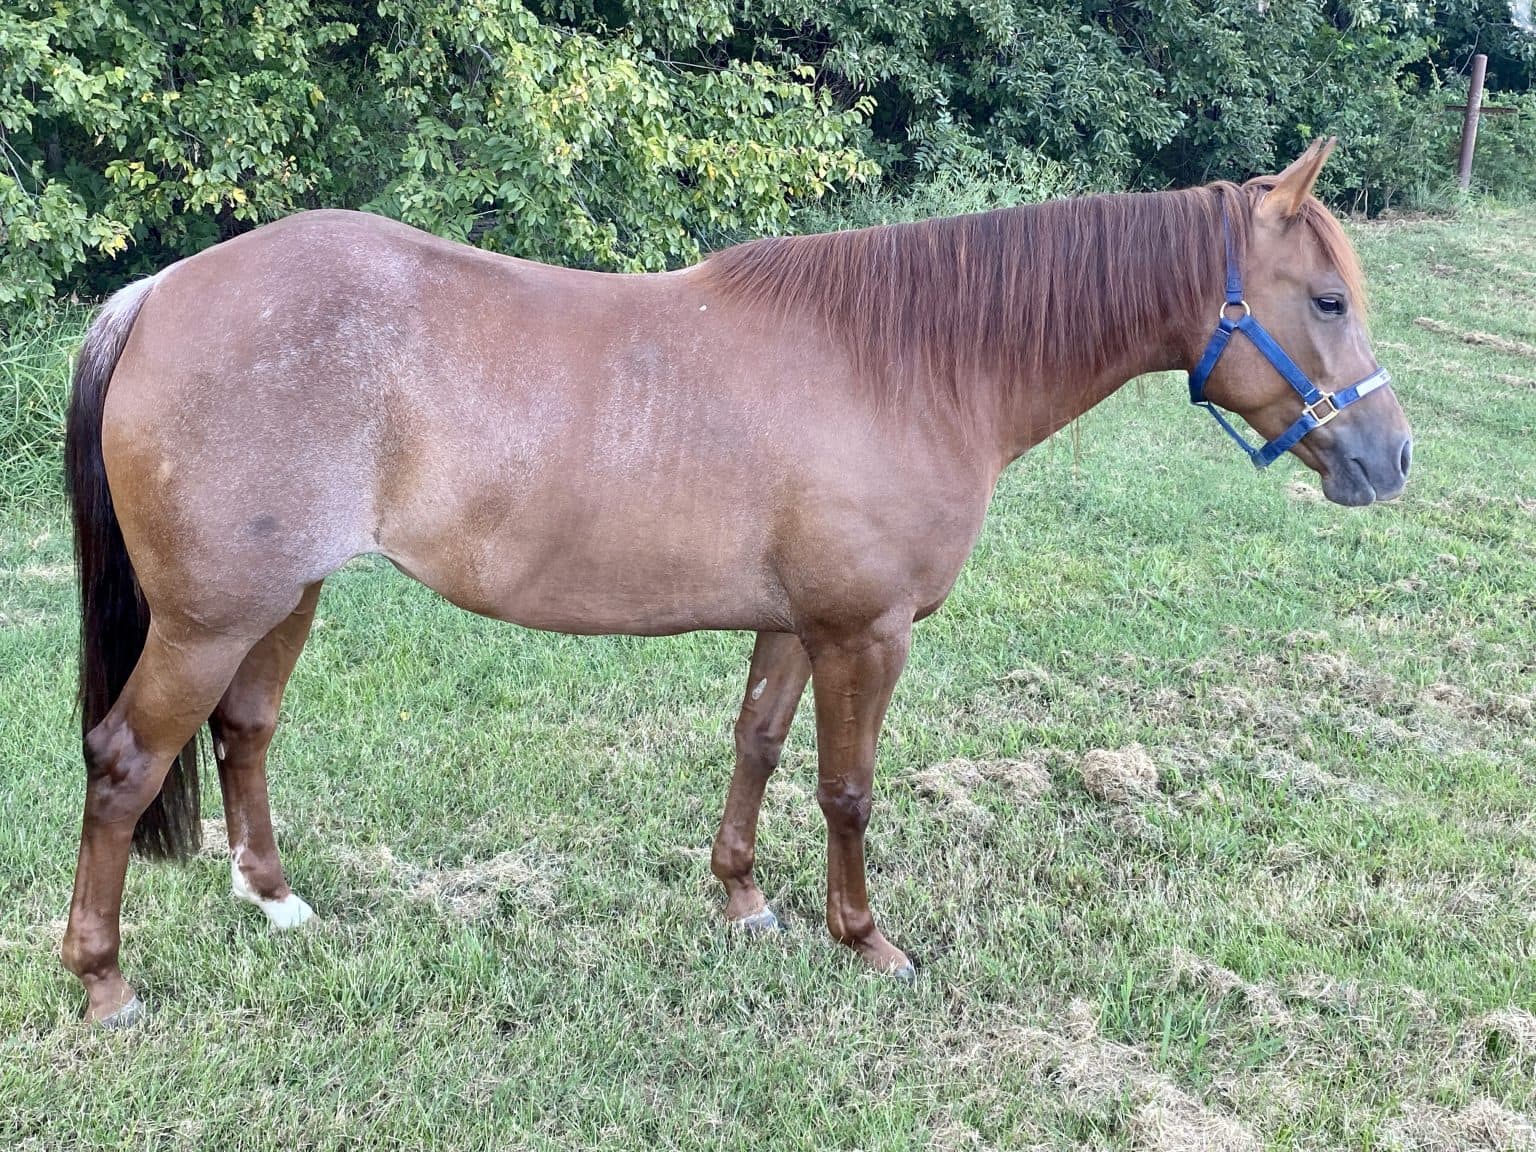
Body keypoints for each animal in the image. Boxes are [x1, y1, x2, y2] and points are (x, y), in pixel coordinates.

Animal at [60, 138, 1410, 1026]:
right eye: (1328, 298)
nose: (1391, 459)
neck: (907, 363)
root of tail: (160, 292)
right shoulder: (867, 633)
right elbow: (849, 791)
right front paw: (866, 942)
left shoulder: (796, 626)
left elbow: (757, 748)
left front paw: (744, 905)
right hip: (210, 618)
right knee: (126, 762)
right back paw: (105, 981)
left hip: (279, 602)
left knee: (244, 729)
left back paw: (276, 904)